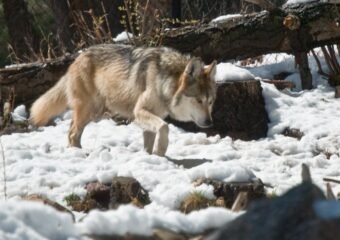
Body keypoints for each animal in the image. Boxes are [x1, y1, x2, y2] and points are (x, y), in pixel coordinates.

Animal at [30, 44, 216, 158]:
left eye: (210, 102)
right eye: (198, 100)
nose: (209, 122)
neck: (164, 80)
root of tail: (77, 59)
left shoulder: (150, 119)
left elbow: (149, 142)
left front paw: (150, 158)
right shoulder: (139, 111)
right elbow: (164, 127)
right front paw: (161, 151)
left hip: (93, 113)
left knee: (71, 131)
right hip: (89, 112)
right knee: (73, 133)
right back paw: (79, 154)